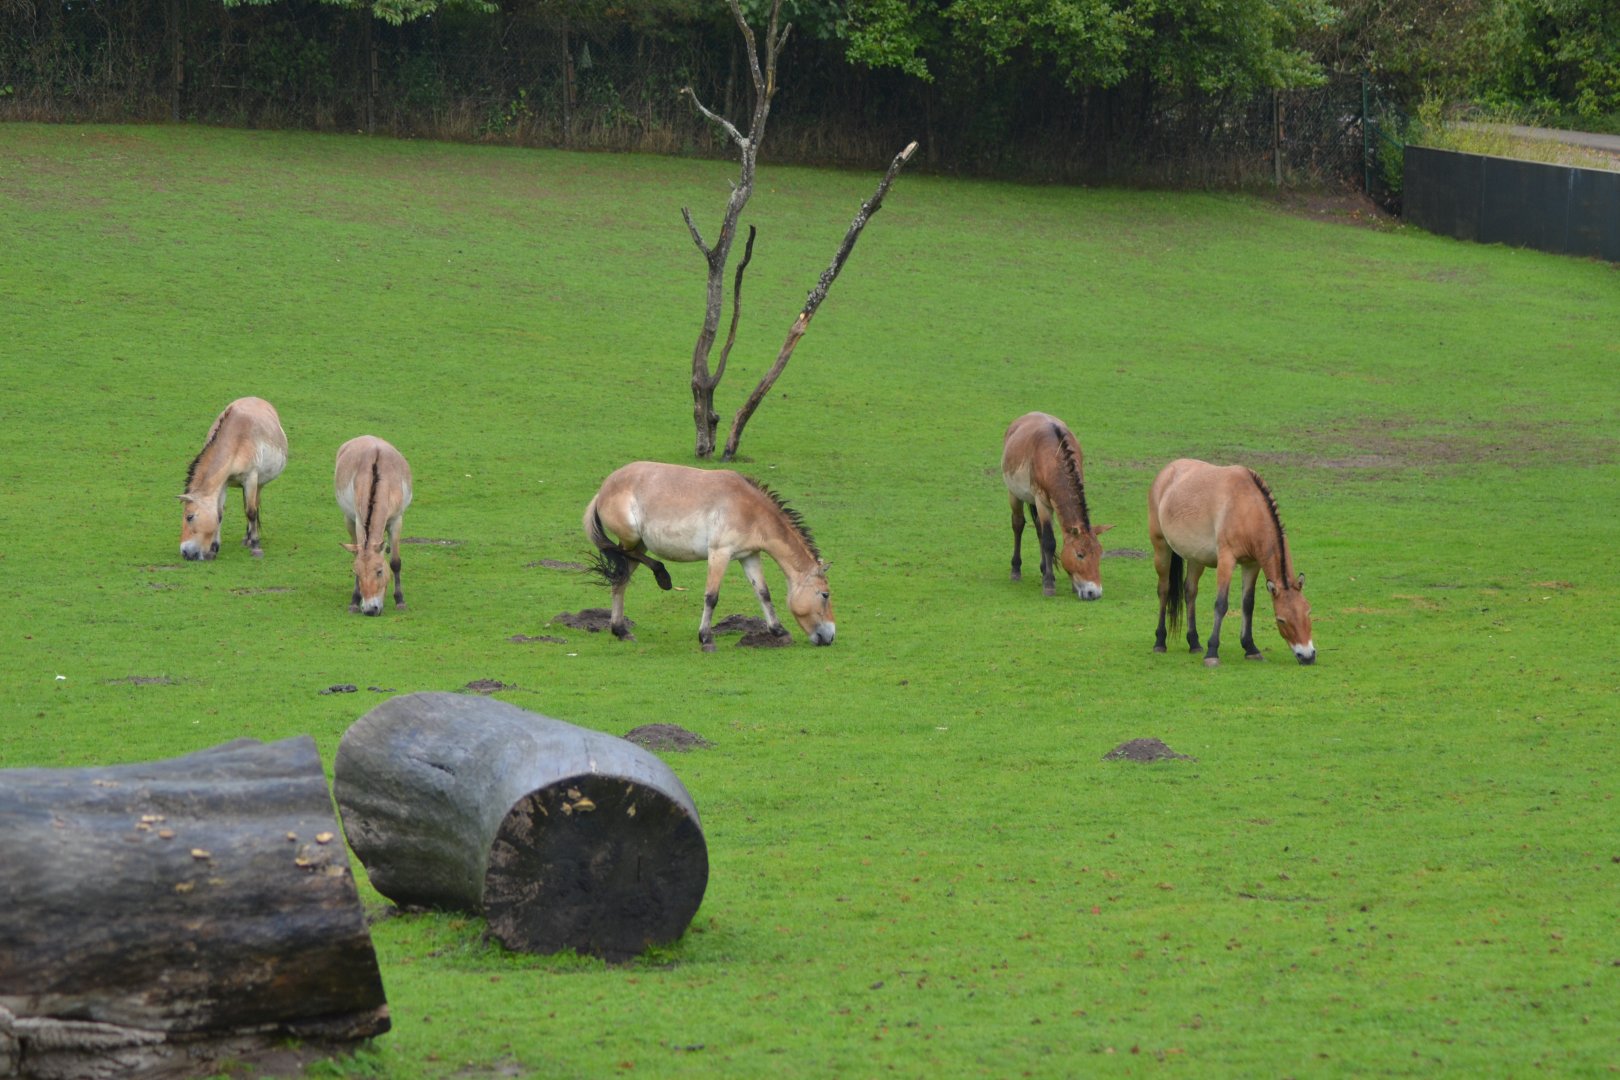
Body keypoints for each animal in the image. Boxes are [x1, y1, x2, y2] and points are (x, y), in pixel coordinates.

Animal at [179, 396, 288, 561]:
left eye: (189, 517)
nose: (185, 552)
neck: (237, 439)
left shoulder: (251, 478)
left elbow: (251, 512)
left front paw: (256, 546)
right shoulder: (223, 483)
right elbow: (219, 514)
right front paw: (213, 548)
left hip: (259, 483)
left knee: (253, 507)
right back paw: (246, 539)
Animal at [334, 436, 414, 615]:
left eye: (379, 571)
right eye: (356, 572)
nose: (371, 609)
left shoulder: (397, 521)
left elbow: (395, 562)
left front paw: (400, 600)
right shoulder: (358, 522)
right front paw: (354, 601)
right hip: (348, 519)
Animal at [583, 461, 835, 651]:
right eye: (825, 594)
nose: (830, 636)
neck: (749, 509)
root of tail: (603, 489)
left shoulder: (749, 556)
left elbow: (763, 593)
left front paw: (779, 631)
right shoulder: (719, 553)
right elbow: (711, 597)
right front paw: (706, 638)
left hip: (641, 543)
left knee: (620, 579)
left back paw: (621, 631)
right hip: (631, 539)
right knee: (620, 557)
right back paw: (662, 577)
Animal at [1000, 412, 1114, 599]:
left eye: (1100, 554)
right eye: (1080, 554)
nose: (1094, 592)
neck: (1053, 458)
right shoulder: (1042, 501)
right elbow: (1049, 541)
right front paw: (1049, 584)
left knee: (1038, 528)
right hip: (1014, 493)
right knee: (1018, 524)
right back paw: (1016, 569)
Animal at [1147, 458, 1315, 666]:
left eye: (1308, 612)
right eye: (1281, 619)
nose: (1307, 656)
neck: (1247, 507)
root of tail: (1167, 471)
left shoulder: (1252, 564)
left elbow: (1248, 604)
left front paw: (1251, 648)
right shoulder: (1226, 560)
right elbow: (1221, 604)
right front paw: (1212, 653)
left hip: (1196, 558)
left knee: (1190, 592)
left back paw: (1194, 643)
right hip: (1161, 548)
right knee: (1164, 589)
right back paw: (1160, 642)